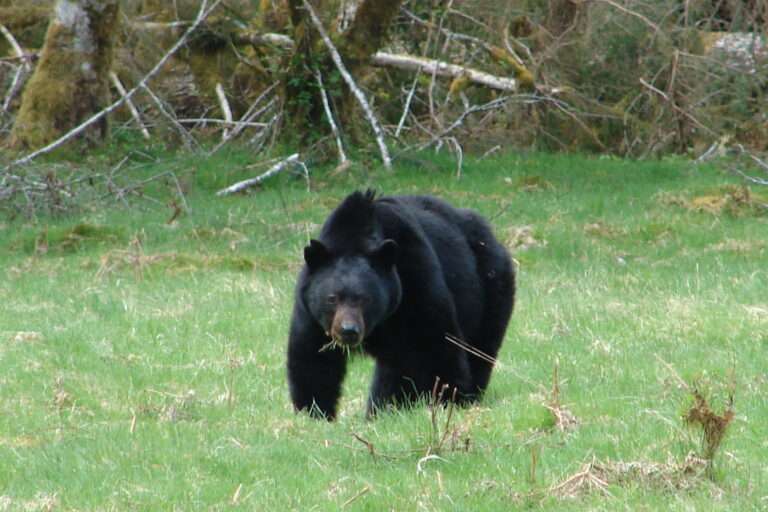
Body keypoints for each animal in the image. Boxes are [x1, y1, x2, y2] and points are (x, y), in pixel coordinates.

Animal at [287, 189, 515, 420]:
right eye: (332, 298)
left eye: (365, 298)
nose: (348, 330)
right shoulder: (311, 313)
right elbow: (312, 360)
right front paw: (314, 412)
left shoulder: (415, 279)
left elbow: (436, 344)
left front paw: (448, 400)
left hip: (490, 289)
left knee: (478, 350)